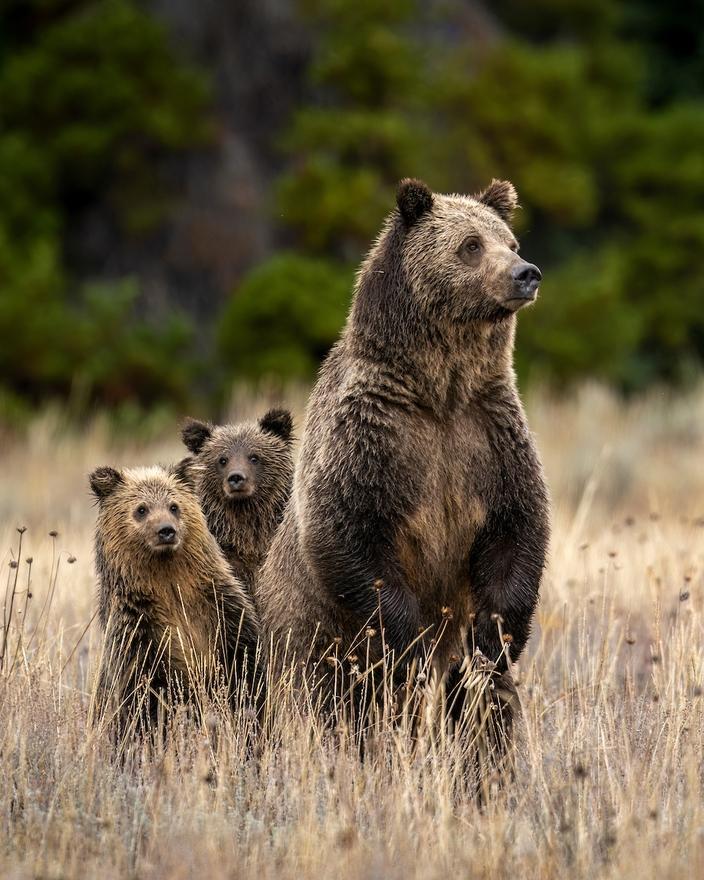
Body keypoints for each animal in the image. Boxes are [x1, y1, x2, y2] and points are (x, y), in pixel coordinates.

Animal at [89, 464, 262, 732]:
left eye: (174, 506)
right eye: (141, 509)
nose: (166, 531)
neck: (169, 583)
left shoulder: (220, 610)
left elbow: (246, 665)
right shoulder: (139, 630)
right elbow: (147, 694)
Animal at [256, 179, 552, 744]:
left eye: (512, 241)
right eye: (471, 245)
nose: (526, 273)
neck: (438, 390)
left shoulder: (488, 437)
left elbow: (517, 530)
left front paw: (492, 644)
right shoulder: (373, 436)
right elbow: (347, 531)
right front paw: (411, 644)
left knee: (487, 713)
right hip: (306, 637)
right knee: (330, 700)